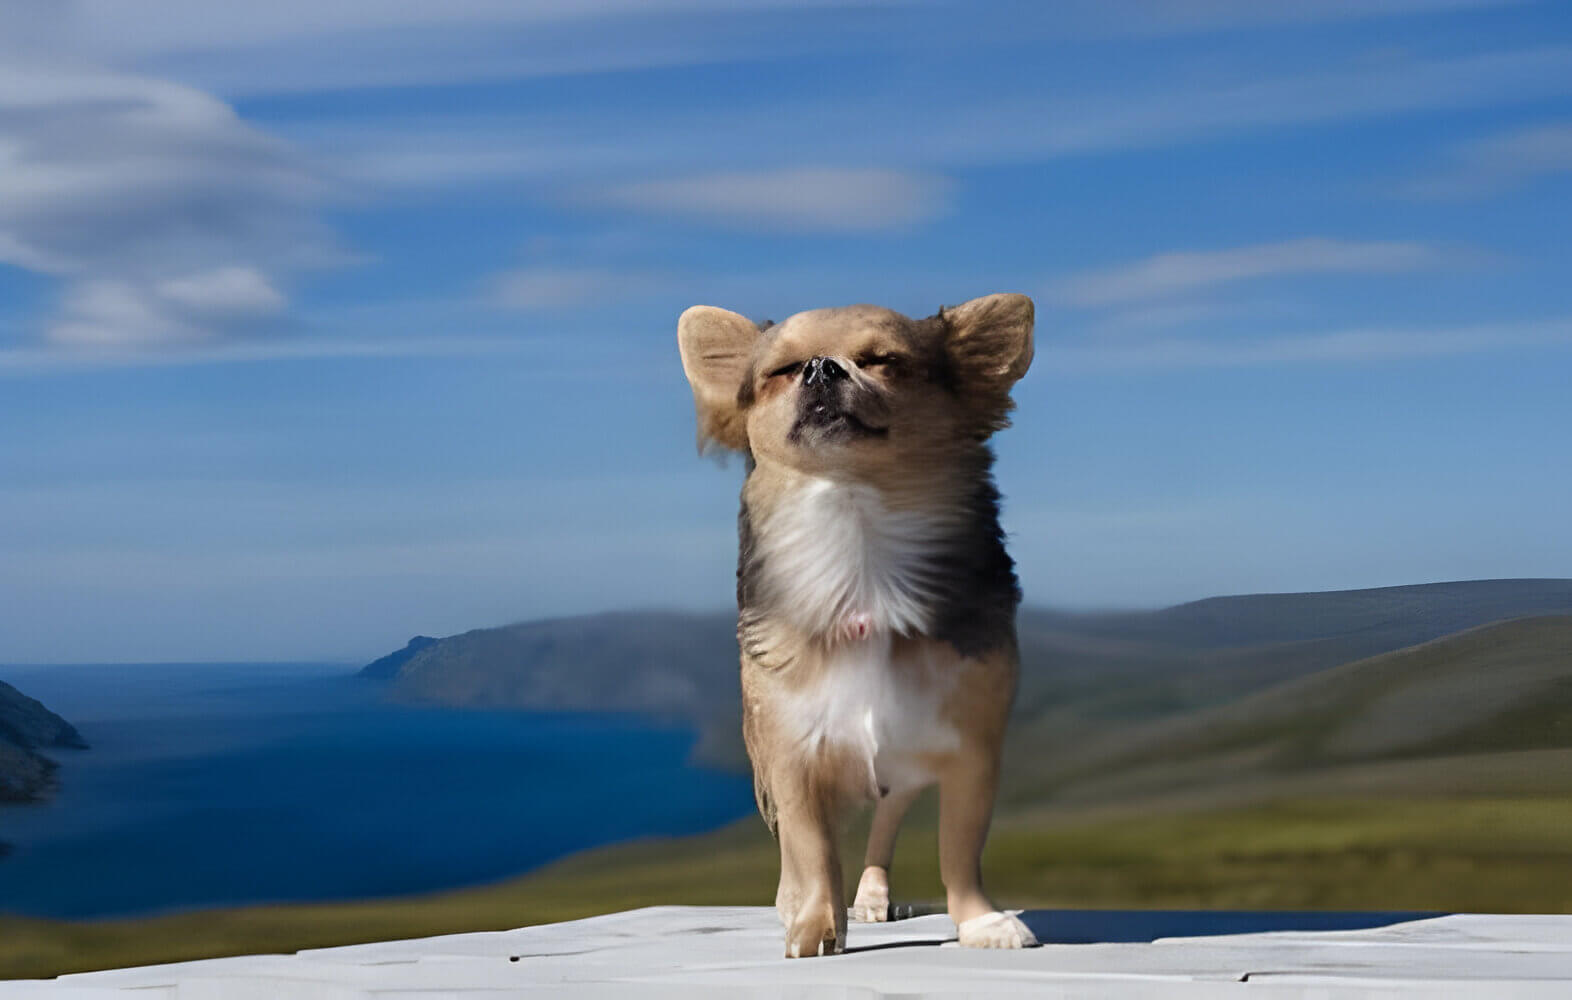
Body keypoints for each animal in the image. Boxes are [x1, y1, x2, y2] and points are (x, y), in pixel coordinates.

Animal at [672, 292, 1031, 955]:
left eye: (883, 361)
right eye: (783, 371)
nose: (821, 368)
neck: (857, 535)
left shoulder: (969, 749)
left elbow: (958, 850)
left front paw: (979, 921)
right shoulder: (792, 754)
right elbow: (812, 850)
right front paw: (814, 922)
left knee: (883, 830)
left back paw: (871, 896)